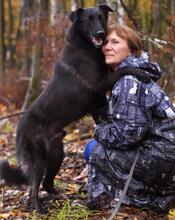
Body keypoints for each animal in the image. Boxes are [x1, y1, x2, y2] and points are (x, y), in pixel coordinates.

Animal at [0, 5, 148, 213]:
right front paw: (142, 71)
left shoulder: (98, 98)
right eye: (88, 20)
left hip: (56, 154)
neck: (85, 47)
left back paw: (60, 196)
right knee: (32, 187)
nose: (101, 34)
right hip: (39, 160)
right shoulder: (100, 85)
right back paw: (39, 208)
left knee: (46, 182)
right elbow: (123, 69)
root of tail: (19, 130)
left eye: (101, 18)